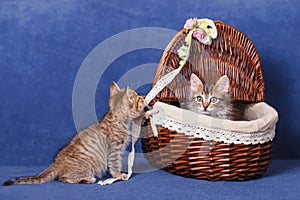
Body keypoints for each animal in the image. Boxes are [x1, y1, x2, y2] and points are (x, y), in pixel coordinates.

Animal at [3, 82, 145, 185]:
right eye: (137, 98)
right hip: (88, 165)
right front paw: (119, 175)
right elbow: (115, 165)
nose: (141, 97)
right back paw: (87, 179)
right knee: (65, 178)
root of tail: (56, 162)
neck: (116, 119)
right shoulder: (114, 151)